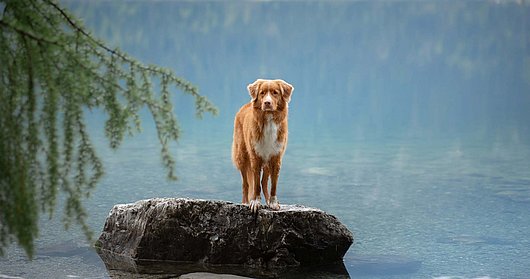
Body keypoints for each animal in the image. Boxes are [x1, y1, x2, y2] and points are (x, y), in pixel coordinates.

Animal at [231, 78, 292, 212]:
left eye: (275, 93)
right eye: (262, 93)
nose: (267, 103)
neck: (268, 121)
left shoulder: (275, 158)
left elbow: (273, 184)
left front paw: (273, 202)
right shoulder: (255, 158)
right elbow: (255, 184)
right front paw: (255, 202)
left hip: (267, 162)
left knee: (264, 182)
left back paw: (268, 200)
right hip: (242, 156)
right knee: (246, 184)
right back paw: (245, 202)